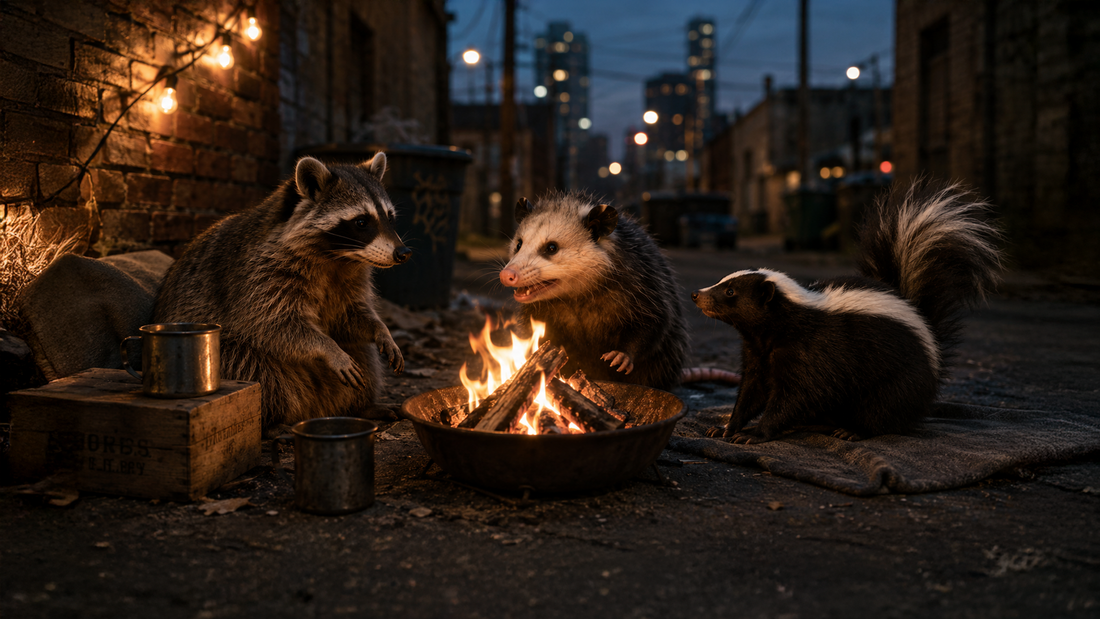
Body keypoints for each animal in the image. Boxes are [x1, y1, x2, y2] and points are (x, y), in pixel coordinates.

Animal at [153, 154, 408, 431]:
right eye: (361, 222)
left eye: (390, 217)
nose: (403, 253)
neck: (337, 258)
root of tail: (316, 405)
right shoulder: (259, 274)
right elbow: (275, 324)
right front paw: (328, 348)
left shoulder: (350, 278)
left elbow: (348, 316)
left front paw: (381, 329)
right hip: (230, 350)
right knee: (254, 369)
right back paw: (274, 420)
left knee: (363, 353)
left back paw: (360, 406)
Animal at [498, 192, 688, 390]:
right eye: (519, 244)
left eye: (551, 248)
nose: (507, 275)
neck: (578, 294)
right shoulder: (537, 313)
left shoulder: (643, 282)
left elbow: (653, 322)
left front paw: (622, 356)